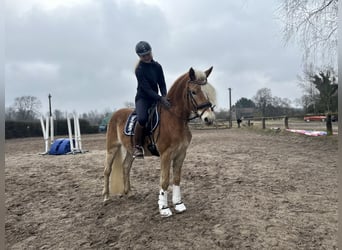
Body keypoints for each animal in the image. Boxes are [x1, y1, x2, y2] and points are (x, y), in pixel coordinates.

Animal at [101, 66, 218, 217]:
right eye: (193, 92)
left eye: (208, 92)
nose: (209, 118)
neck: (175, 118)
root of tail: (115, 114)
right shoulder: (166, 155)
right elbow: (164, 180)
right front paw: (164, 208)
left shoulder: (181, 154)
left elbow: (176, 179)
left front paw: (179, 204)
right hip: (112, 147)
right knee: (107, 170)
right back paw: (106, 197)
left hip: (130, 150)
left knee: (126, 167)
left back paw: (129, 193)